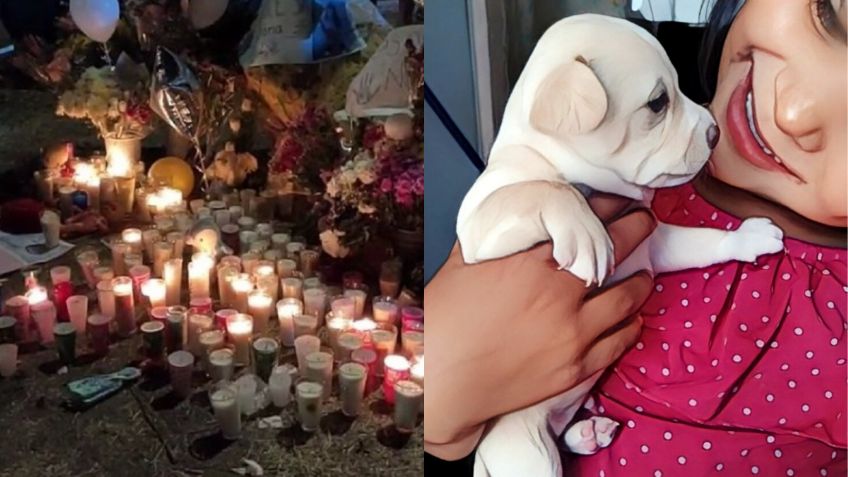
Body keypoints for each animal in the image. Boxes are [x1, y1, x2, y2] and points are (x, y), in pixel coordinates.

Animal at [460, 13, 784, 476]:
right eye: (657, 103)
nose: (716, 132)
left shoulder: (655, 241)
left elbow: (703, 240)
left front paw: (748, 236)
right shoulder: (477, 226)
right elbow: (542, 189)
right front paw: (585, 228)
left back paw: (587, 430)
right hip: (525, 448)